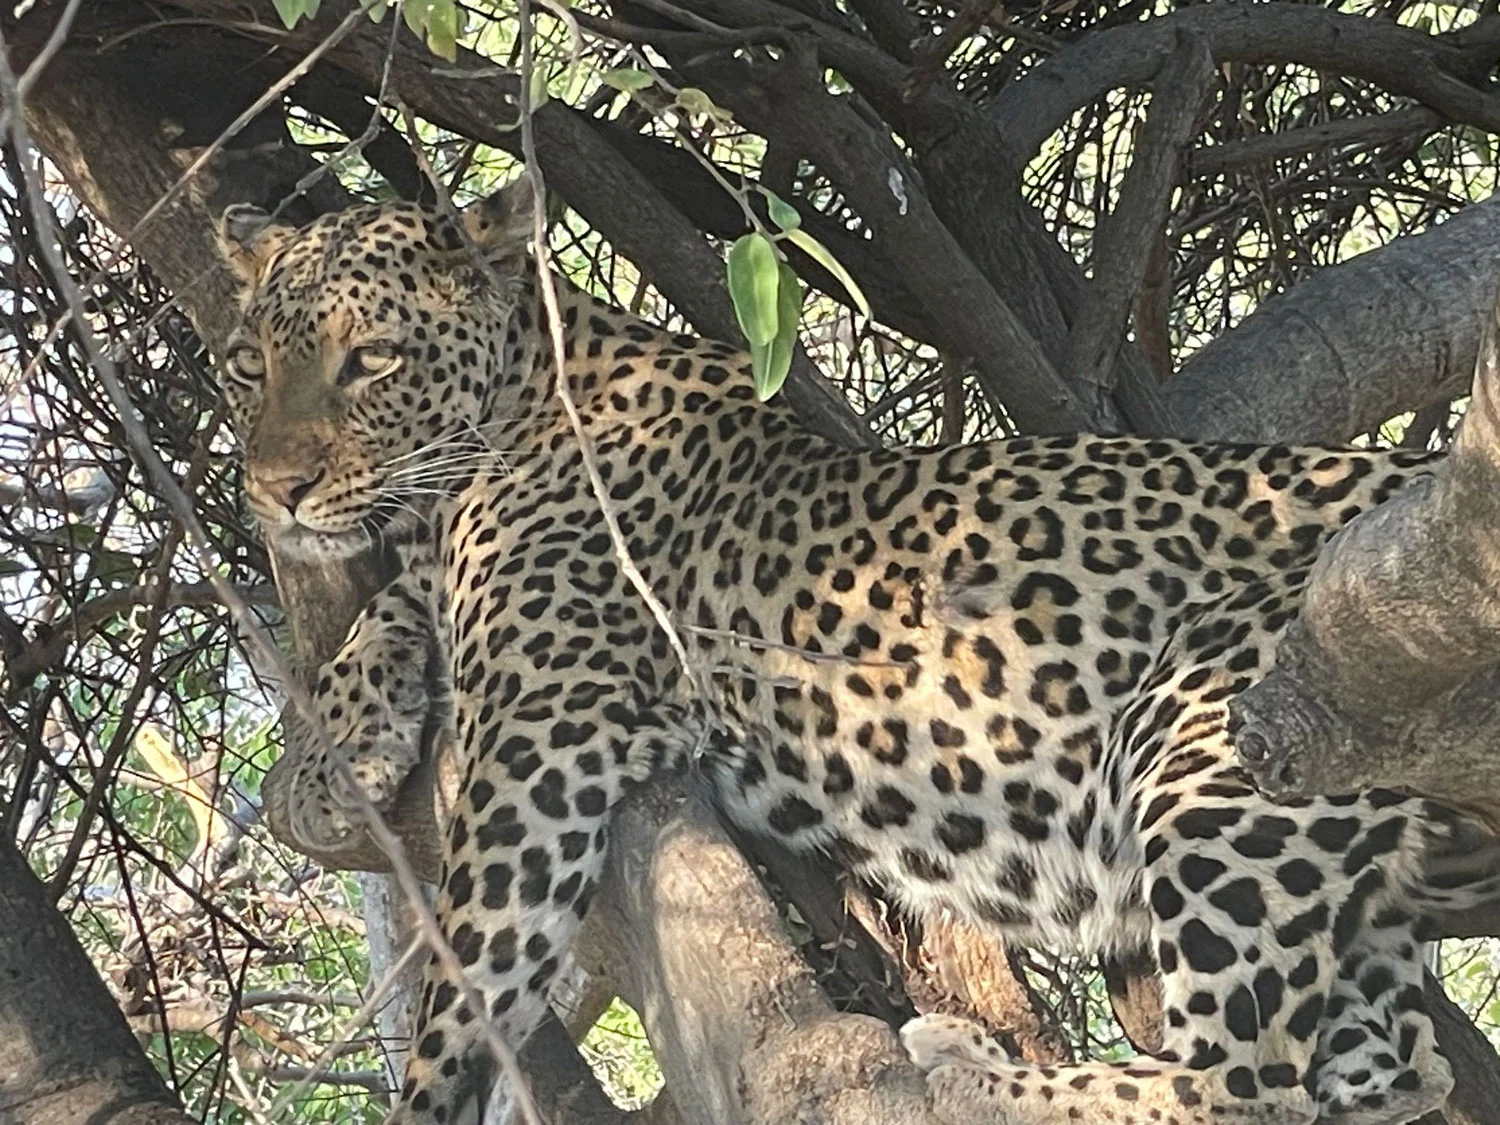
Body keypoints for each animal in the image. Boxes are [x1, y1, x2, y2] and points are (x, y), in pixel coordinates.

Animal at [214, 180, 1497, 1125]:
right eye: (244, 367)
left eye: (371, 360)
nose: (272, 490)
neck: (521, 403)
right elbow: (393, 602)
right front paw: (333, 753)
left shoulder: (543, 744)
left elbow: (462, 982)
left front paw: (423, 1094)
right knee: (1382, 1068)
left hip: (1217, 730)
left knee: (1239, 1085)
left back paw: (970, 1076)